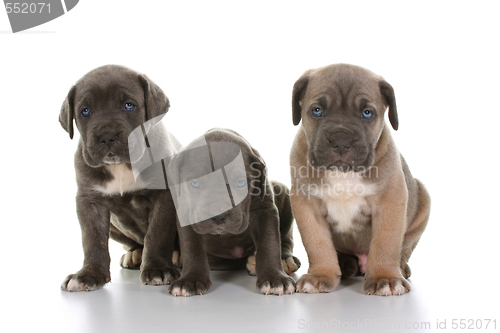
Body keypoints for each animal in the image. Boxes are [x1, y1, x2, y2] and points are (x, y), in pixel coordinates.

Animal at [60, 65, 182, 290]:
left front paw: (157, 269)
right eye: (85, 111)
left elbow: (157, 233)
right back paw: (135, 254)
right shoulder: (89, 202)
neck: (121, 166)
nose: (107, 136)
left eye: (129, 105)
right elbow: (92, 240)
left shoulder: (163, 196)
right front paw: (89, 274)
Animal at [168, 128, 300, 294]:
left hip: (284, 193)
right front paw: (190, 279)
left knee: (286, 237)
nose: (219, 216)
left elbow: (269, 243)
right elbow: (191, 247)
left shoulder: (265, 210)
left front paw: (275, 278)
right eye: (195, 183)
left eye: (240, 182)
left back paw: (283, 260)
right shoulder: (186, 213)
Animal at [292, 63, 432, 294]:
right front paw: (320, 275)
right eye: (317, 111)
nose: (341, 140)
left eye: (367, 113)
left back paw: (400, 267)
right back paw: (344, 264)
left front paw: (385, 277)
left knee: (404, 248)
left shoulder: (390, 202)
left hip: (423, 203)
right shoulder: (307, 206)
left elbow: (386, 242)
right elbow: (317, 243)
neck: (343, 174)